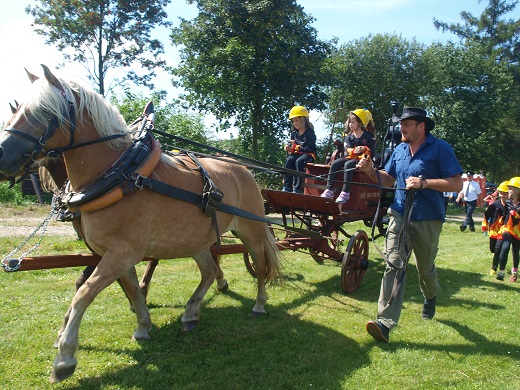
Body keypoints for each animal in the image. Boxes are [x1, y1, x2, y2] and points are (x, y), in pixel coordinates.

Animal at [0, 65, 282, 382]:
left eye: (44, 113)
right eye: (17, 110)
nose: (1, 155)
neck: (121, 175)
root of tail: (243, 170)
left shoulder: (122, 252)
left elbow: (84, 293)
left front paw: (65, 357)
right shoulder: (116, 253)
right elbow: (133, 289)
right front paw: (143, 326)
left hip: (251, 231)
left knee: (260, 264)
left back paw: (259, 304)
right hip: (196, 239)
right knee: (210, 271)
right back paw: (191, 313)